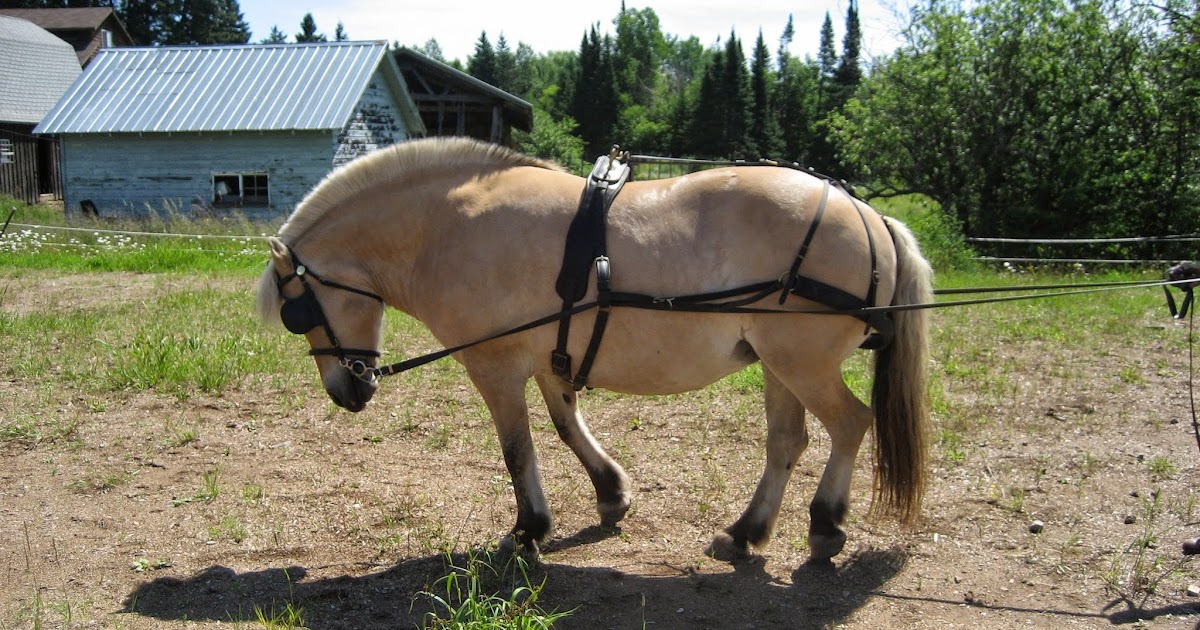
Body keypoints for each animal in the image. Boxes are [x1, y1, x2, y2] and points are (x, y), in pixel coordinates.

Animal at [255, 137, 933, 563]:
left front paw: (528, 530)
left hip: (802, 363)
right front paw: (611, 493)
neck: (447, 228)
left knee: (851, 424)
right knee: (787, 443)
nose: (348, 390)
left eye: (298, 312)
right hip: (777, 365)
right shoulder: (550, 356)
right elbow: (565, 426)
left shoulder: (494, 366)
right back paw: (745, 533)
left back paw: (825, 524)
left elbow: (517, 450)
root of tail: (870, 215)